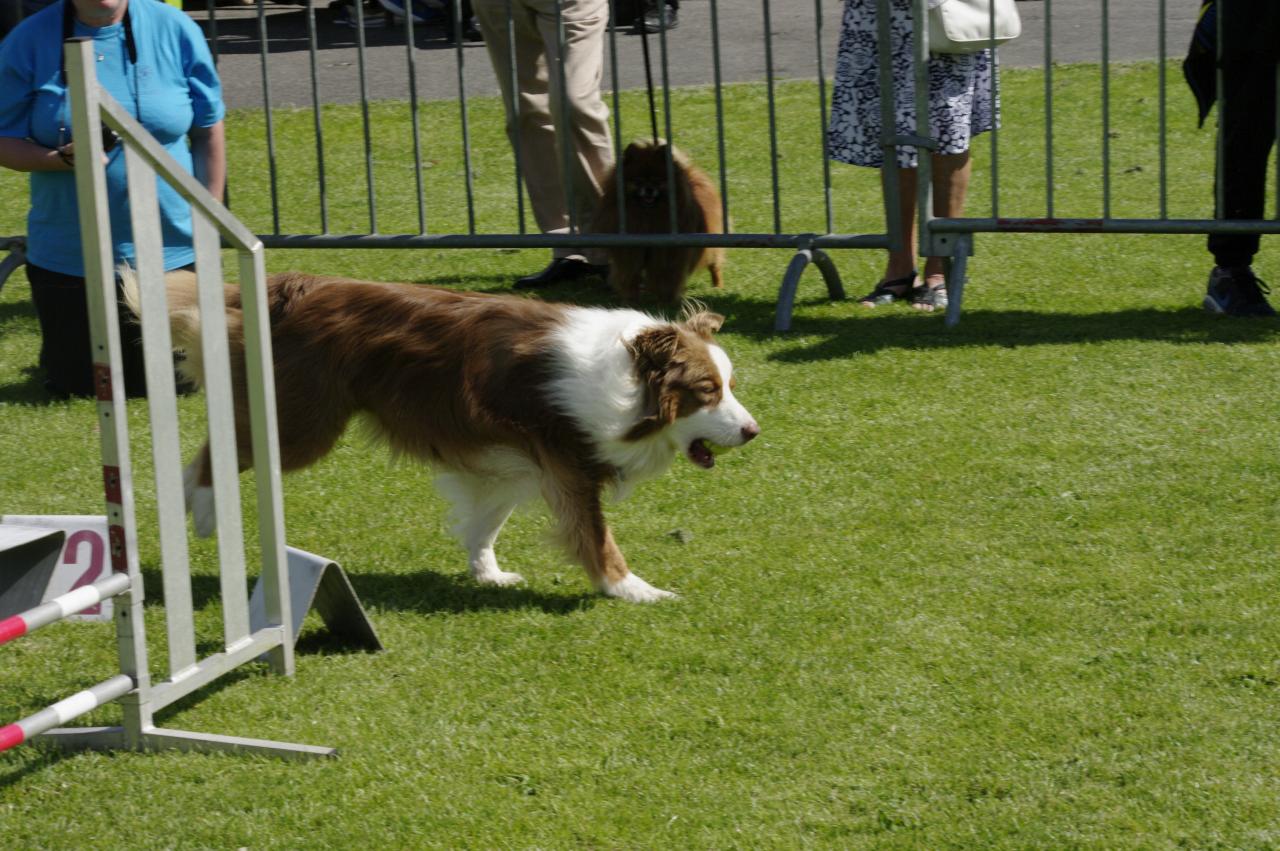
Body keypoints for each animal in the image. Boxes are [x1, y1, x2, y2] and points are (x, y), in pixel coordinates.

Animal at [591, 140, 727, 307]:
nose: (649, 189)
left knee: (715, 265)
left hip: (710, 244)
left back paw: (717, 286)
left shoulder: (667, 254)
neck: (648, 218)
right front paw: (630, 302)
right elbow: (630, 279)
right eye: (638, 181)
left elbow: (665, 280)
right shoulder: (630, 253)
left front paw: (665, 303)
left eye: (658, 181)